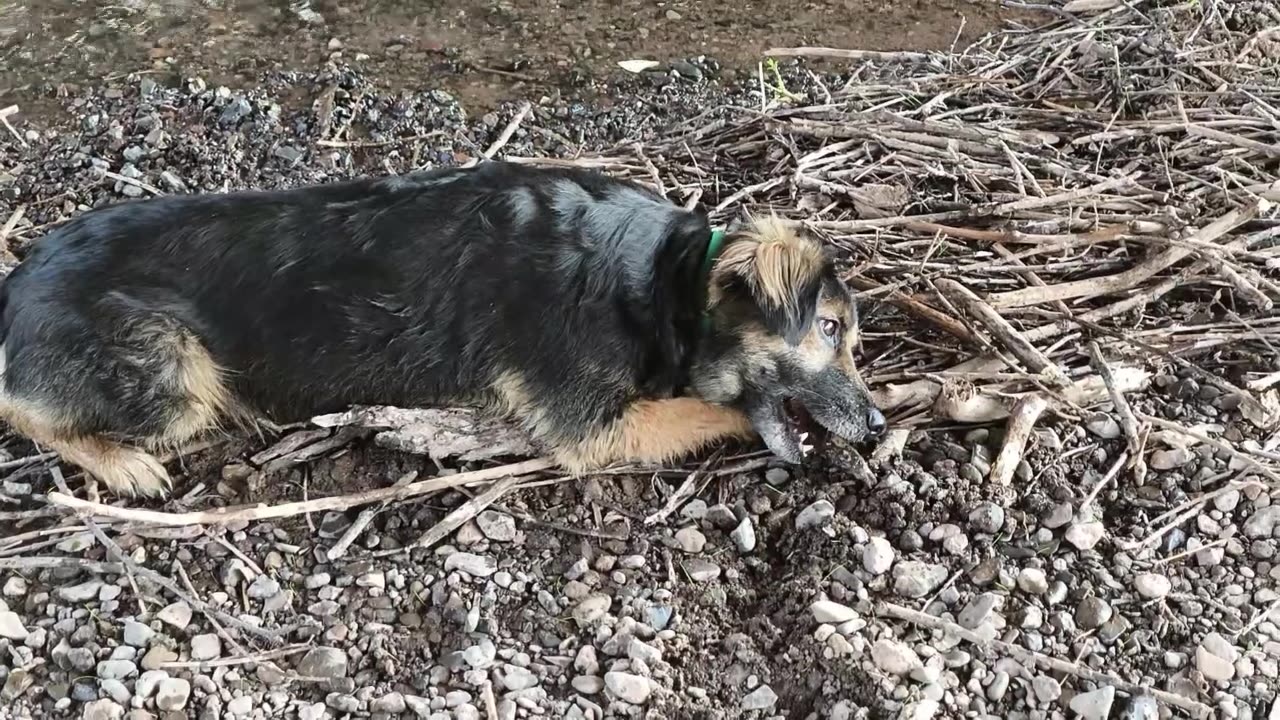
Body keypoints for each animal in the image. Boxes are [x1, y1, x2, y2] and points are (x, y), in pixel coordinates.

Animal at [0, 159, 885, 491]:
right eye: (828, 328)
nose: (879, 428)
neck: (671, 277)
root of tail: (14, 288)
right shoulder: (597, 427)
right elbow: (711, 407)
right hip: (175, 374)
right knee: (24, 409)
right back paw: (123, 467)